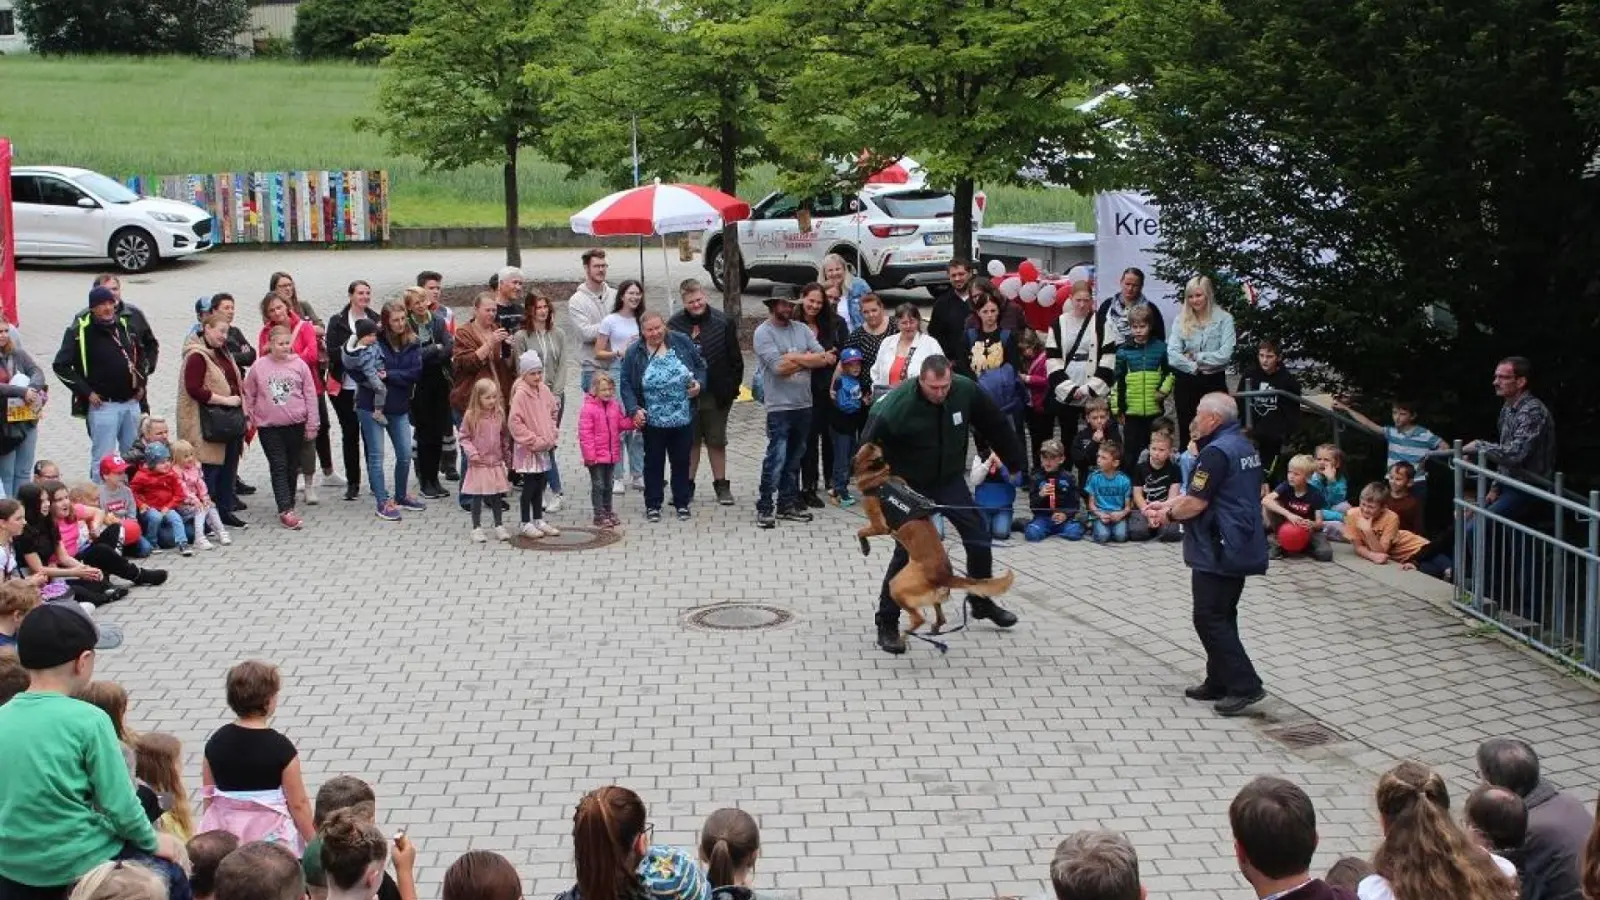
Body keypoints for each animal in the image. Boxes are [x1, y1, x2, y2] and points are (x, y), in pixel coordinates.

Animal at [851, 438, 1011, 634]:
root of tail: (945, 576)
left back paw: (907, 633)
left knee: (918, 617)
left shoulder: (879, 526)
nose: (871, 440)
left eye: (864, 448)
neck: (880, 478)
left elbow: (861, 531)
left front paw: (865, 547)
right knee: (940, 618)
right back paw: (933, 630)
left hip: (898, 585)